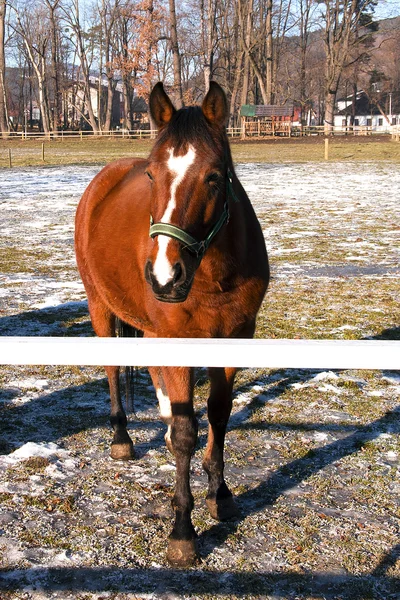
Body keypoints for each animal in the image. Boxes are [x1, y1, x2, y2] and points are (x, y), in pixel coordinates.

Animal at [75, 81, 268, 568]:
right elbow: (185, 433)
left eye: (215, 176)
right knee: (114, 371)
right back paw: (122, 437)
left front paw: (221, 493)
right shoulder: (179, 339)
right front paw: (183, 531)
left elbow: (218, 415)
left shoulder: (236, 336)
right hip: (100, 307)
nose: (164, 276)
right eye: (151, 176)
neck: (214, 274)